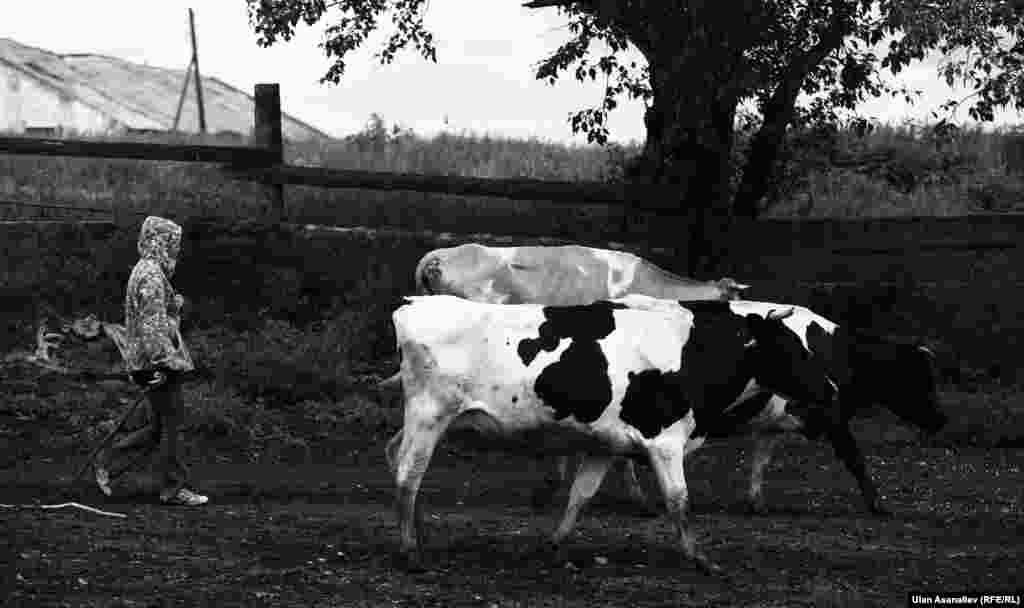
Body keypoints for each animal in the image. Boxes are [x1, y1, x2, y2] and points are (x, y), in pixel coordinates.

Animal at [385, 296, 839, 569]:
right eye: (792, 348)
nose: (832, 388)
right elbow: (680, 501)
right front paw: (698, 558)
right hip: (429, 415)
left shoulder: (606, 446)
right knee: (408, 476)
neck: (691, 352)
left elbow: (580, 495)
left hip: (423, 419)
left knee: (396, 459)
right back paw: (409, 551)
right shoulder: (665, 441)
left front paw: (555, 545)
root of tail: (415, 303)